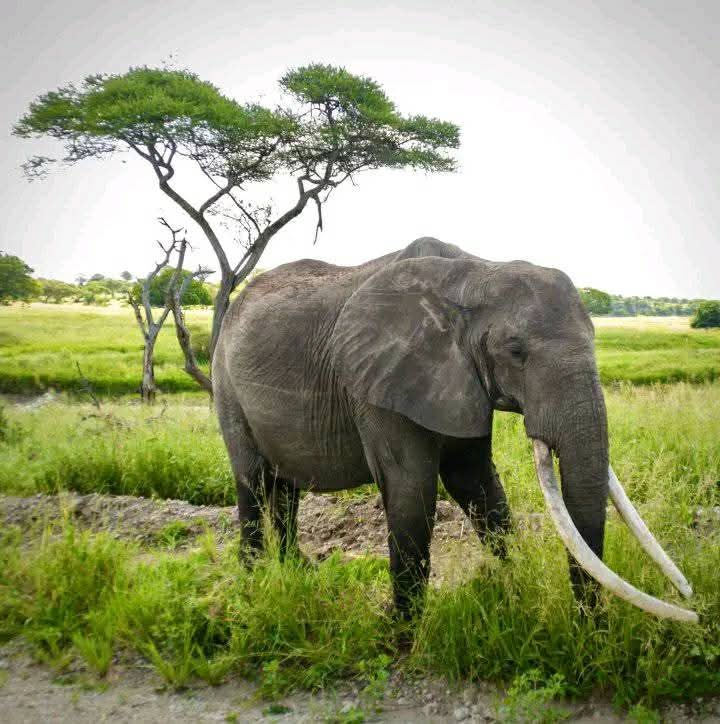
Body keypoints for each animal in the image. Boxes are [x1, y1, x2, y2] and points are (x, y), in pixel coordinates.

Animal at [213, 237, 697, 623]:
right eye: (515, 351)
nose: (590, 629)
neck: (476, 273)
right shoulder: (377, 380)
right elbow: (412, 490)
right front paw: (403, 633)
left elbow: (477, 483)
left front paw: (510, 592)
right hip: (225, 384)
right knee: (253, 481)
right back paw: (255, 581)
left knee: (285, 490)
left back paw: (296, 573)